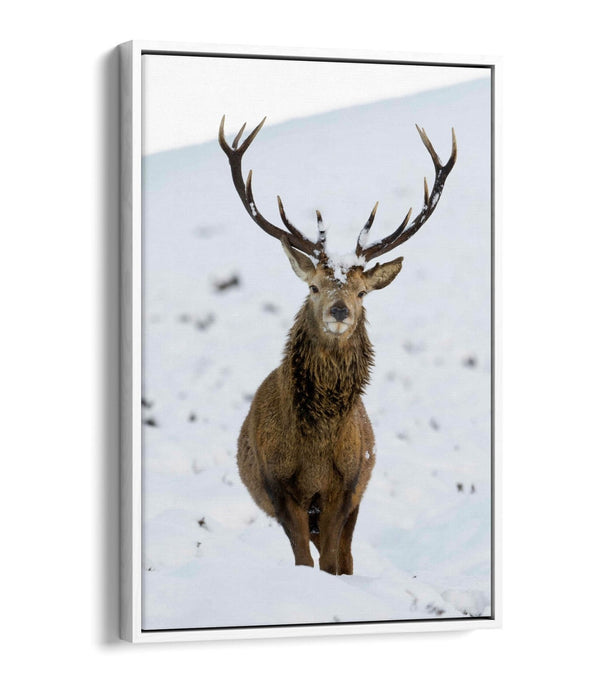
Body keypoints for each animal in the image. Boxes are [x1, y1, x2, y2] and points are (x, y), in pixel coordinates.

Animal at [218, 116, 457, 575]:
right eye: (313, 286)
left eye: (363, 292)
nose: (340, 310)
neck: (315, 448)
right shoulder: (280, 488)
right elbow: (303, 560)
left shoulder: (345, 487)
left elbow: (331, 560)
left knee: (346, 555)